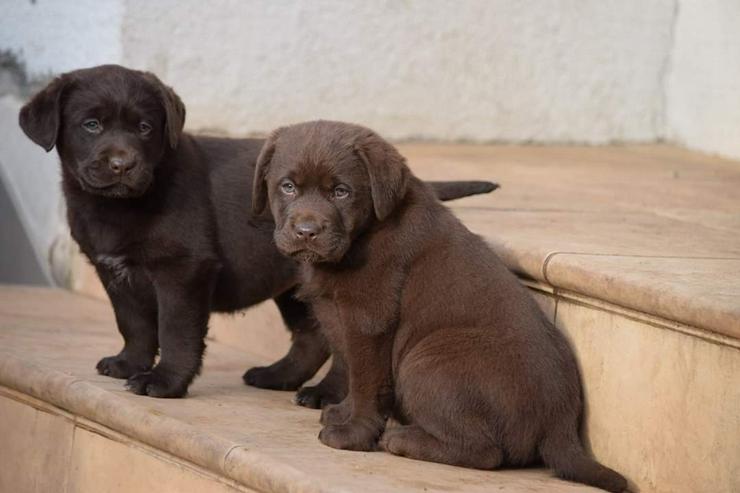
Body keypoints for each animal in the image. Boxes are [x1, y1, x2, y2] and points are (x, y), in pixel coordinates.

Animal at [251, 120, 628, 492]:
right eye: (288, 187)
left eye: (341, 192)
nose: (306, 231)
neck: (363, 235)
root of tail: (560, 425)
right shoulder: (338, 315)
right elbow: (349, 366)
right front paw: (341, 412)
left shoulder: (368, 319)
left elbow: (366, 380)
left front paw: (353, 434)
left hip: (427, 358)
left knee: (486, 452)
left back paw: (403, 440)